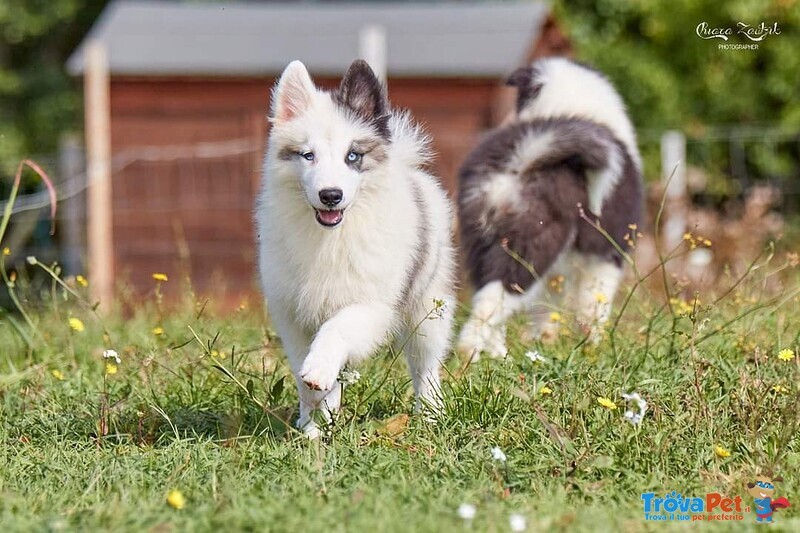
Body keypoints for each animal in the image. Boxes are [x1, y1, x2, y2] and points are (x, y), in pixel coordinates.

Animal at [456, 57, 644, 358]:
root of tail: (525, 155)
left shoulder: (559, 271)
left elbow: (546, 307)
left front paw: (543, 340)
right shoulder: (606, 254)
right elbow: (594, 304)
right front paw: (595, 346)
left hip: (481, 241)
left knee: (488, 295)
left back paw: (499, 355)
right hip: (532, 245)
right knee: (494, 298)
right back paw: (470, 353)